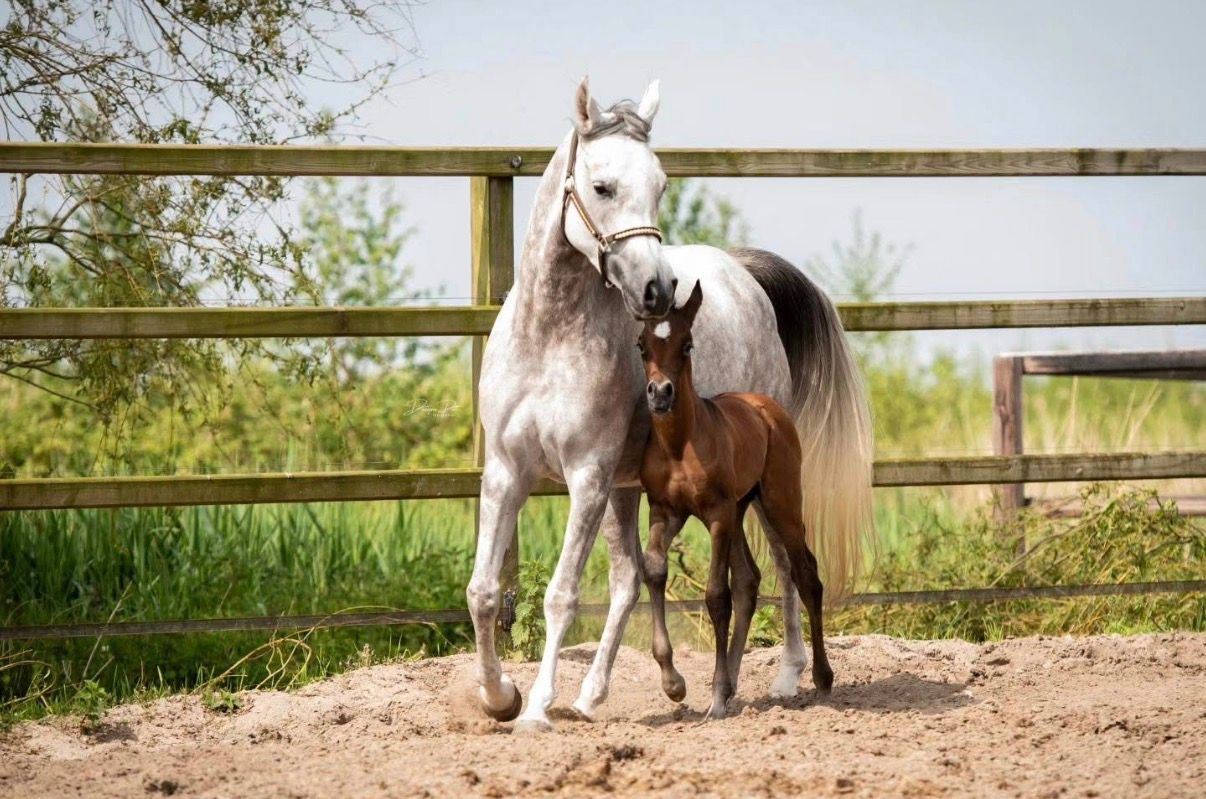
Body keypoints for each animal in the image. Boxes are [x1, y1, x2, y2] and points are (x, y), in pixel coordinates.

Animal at [638, 281, 833, 719]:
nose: (660, 394)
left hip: (778, 504)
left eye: (688, 344)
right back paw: (730, 686)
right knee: (750, 580)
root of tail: (769, 406)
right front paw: (674, 684)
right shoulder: (665, 511)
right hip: (742, 508)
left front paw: (714, 699)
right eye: (641, 345)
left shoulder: (715, 515)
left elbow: (716, 596)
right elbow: (654, 570)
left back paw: (822, 678)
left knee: (805, 573)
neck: (680, 444)